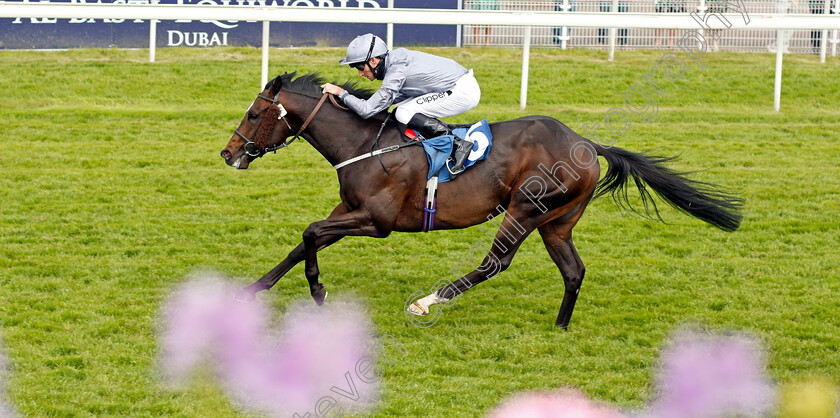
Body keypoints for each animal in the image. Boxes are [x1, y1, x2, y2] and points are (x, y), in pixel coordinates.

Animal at [218, 72, 740, 330]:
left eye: (255, 113)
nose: (227, 153)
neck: (365, 142)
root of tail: (586, 143)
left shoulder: (377, 221)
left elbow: (309, 234)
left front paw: (318, 291)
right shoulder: (348, 211)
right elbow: (302, 241)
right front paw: (254, 289)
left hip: (526, 208)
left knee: (495, 263)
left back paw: (428, 302)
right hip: (557, 221)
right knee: (573, 271)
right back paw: (560, 328)